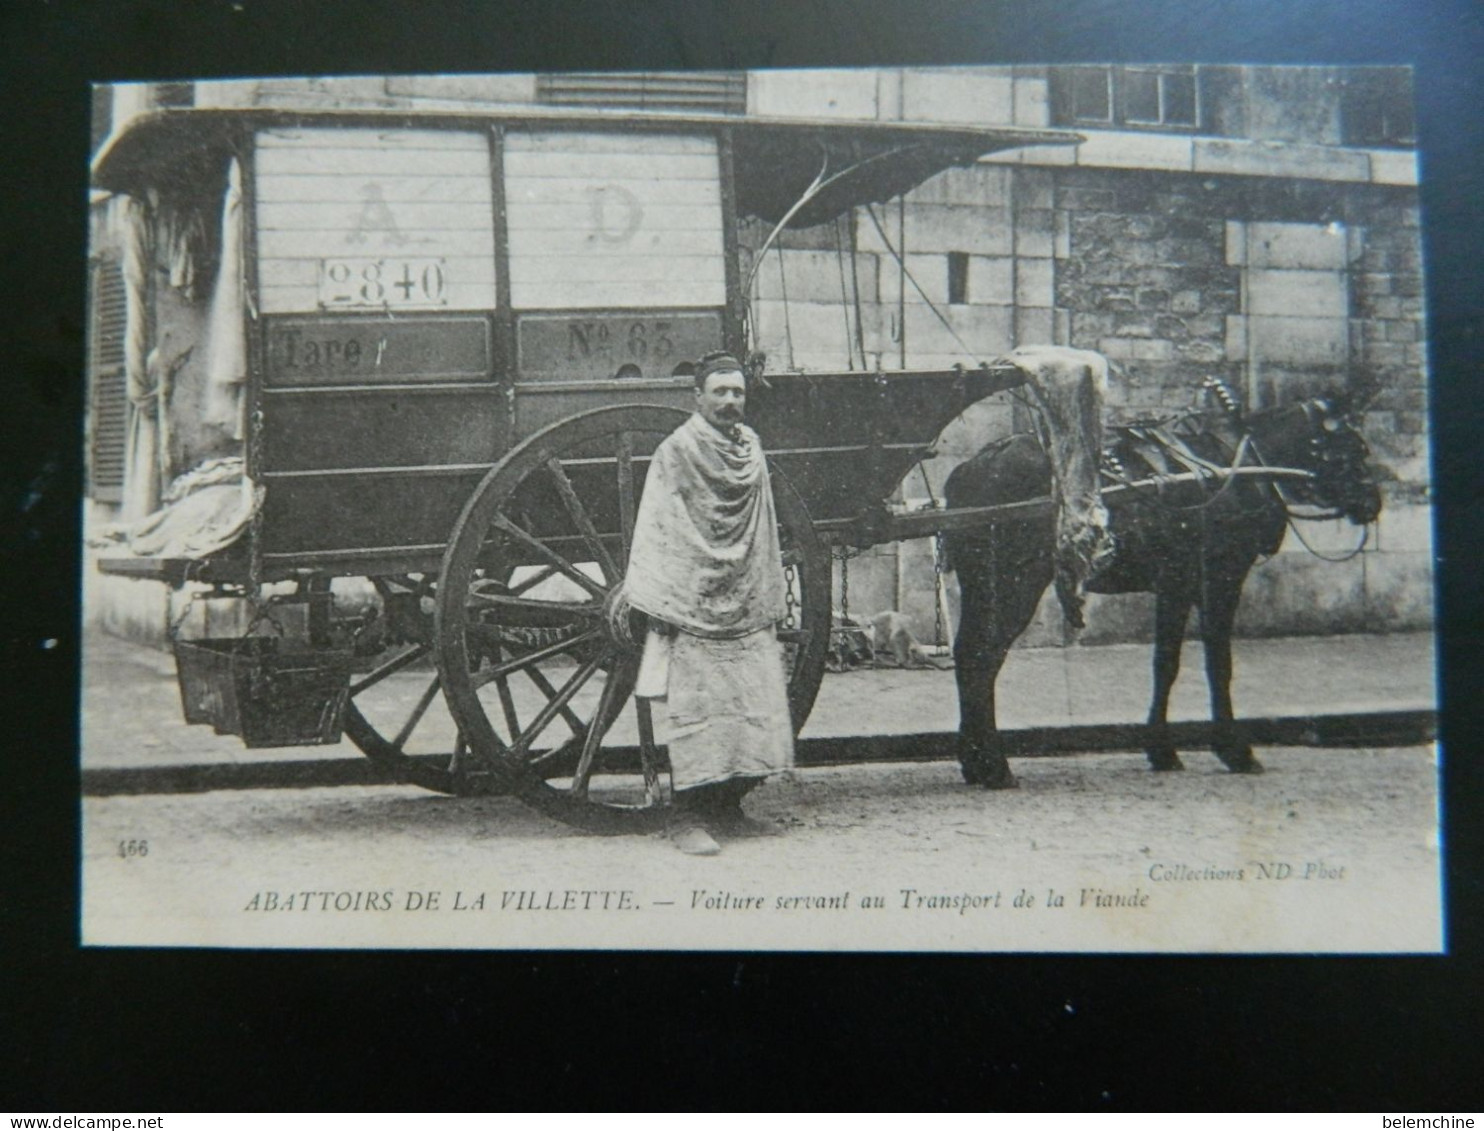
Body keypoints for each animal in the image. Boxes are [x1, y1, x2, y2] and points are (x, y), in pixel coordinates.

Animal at [943, 388, 1383, 783]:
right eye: (1355, 447)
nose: (1373, 502)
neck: (1241, 465)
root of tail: (976, 466)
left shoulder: (1176, 584)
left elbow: (1165, 664)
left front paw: (1161, 749)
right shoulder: (1217, 579)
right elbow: (1216, 664)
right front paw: (1233, 749)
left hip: (982, 584)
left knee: (968, 654)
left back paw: (974, 759)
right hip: (1014, 584)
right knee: (984, 657)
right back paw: (994, 766)